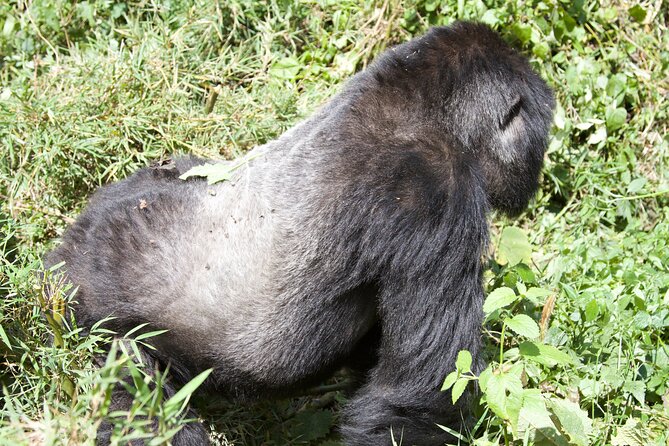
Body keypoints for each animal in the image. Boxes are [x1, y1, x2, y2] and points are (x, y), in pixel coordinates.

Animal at [45, 21, 554, 445]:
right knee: (143, 400)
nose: (537, 171)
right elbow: (418, 395)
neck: (422, 106)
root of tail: (61, 257)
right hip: (96, 310)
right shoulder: (436, 192)